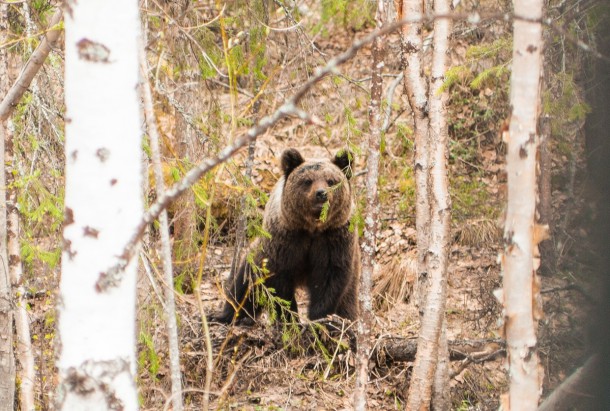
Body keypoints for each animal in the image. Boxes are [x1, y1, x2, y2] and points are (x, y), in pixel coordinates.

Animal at [214, 148, 356, 326]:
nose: (321, 193)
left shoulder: (333, 238)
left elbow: (329, 280)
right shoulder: (285, 239)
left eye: (331, 180)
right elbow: (279, 279)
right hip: (256, 256)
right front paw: (289, 318)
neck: (312, 227)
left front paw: (320, 318)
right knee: (245, 286)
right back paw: (229, 315)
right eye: (308, 180)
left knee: (348, 300)